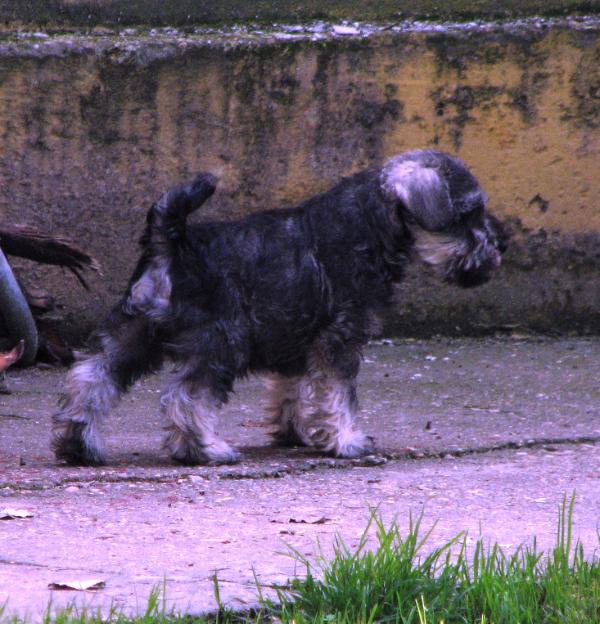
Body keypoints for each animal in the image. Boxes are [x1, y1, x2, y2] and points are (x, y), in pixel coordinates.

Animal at [51, 150, 506, 464]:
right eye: (468, 214)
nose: (497, 249)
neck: (369, 222)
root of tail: (170, 242)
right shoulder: (341, 340)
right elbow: (339, 394)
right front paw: (346, 440)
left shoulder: (297, 342)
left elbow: (296, 390)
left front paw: (298, 431)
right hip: (220, 344)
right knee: (187, 398)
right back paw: (207, 450)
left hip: (132, 336)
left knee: (90, 379)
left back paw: (79, 445)